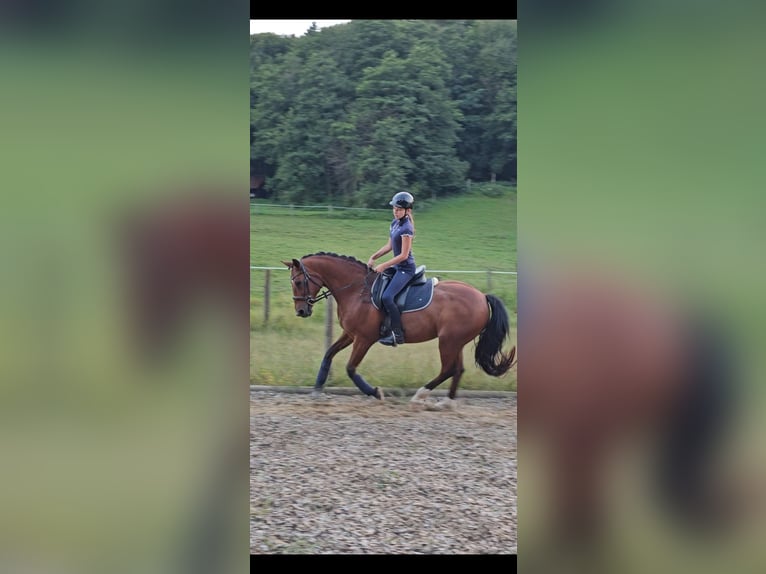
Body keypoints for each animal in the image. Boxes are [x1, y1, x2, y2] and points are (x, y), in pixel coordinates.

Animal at [280, 253, 516, 410]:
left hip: (448, 341)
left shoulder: (364, 338)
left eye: (299, 281)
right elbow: (328, 354)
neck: (357, 290)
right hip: (455, 342)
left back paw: (420, 396)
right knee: (457, 370)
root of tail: (482, 296)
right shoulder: (350, 334)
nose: (301, 311)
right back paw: (446, 402)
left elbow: (350, 368)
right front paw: (317, 388)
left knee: (449, 369)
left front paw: (375, 392)